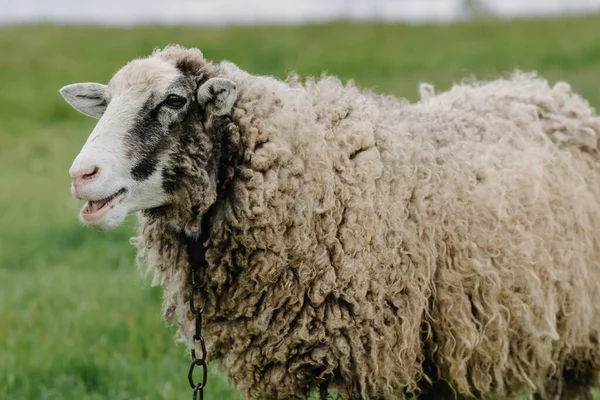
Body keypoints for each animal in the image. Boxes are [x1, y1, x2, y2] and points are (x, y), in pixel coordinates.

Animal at [58, 45, 600, 398]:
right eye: (105, 104)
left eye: (174, 101)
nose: (81, 176)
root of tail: (545, 92)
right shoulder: (272, 366)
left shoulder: (377, 360)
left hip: (575, 337)